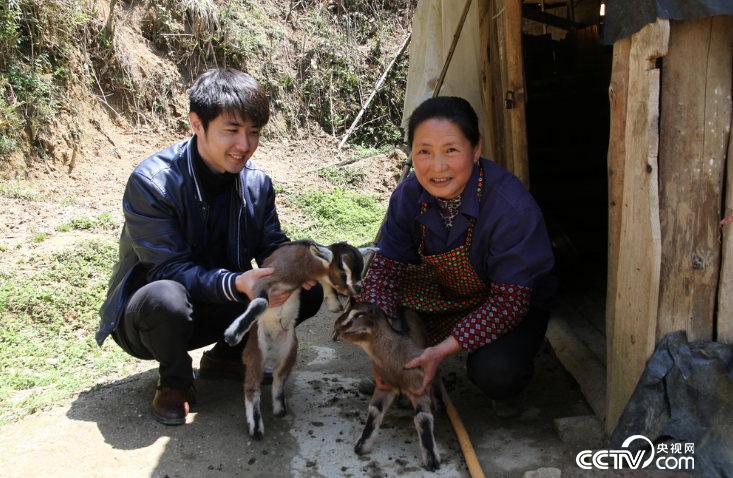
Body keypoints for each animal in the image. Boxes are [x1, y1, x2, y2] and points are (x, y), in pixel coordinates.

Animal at [223, 241, 368, 438]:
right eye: (343, 273)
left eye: (360, 271)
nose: (359, 288)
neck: (300, 266)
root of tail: (272, 341)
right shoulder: (263, 281)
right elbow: (261, 302)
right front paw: (232, 334)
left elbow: (325, 283)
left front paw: (333, 304)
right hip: (256, 349)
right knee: (252, 386)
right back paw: (256, 428)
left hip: (290, 348)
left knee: (279, 375)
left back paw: (279, 408)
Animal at [332, 302, 440, 470]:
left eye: (359, 315)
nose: (337, 325)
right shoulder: (384, 386)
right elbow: (374, 411)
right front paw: (361, 446)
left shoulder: (418, 387)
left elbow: (422, 418)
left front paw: (432, 460)